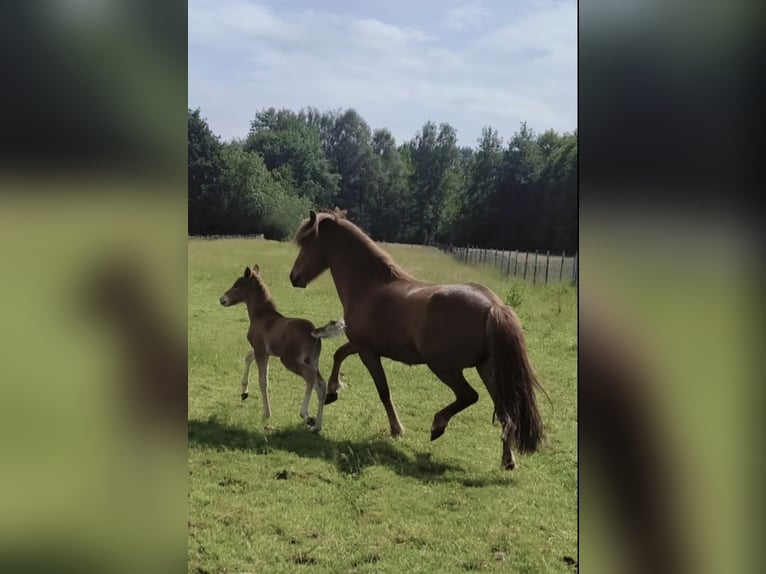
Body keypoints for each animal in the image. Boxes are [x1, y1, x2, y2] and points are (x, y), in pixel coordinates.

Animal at [219, 264, 345, 432]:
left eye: (237, 285)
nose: (222, 300)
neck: (262, 316)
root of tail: (313, 331)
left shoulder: (261, 351)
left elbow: (263, 381)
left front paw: (266, 414)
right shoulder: (265, 352)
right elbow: (248, 356)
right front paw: (244, 392)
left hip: (290, 360)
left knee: (310, 377)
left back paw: (306, 415)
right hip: (312, 361)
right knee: (321, 385)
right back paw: (317, 425)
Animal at [288, 210, 544, 469]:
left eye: (307, 244)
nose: (293, 277)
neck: (370, 287)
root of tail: (493, 305)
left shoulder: (368, 351)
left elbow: (383, 390)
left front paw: (396, 429)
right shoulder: (362, 345)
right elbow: (339, 353)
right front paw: (333, 391)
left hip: (445, 368)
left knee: (469, 396)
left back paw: (438, 425)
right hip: (488, 369)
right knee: (505, 411)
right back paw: (508, 460)